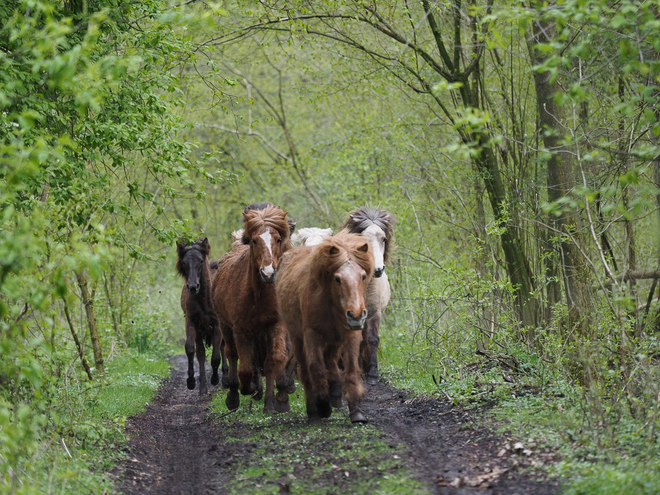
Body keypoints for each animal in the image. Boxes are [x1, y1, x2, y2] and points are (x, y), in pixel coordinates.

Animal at [175, 238, 224, 398]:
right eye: (184, 262)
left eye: (201, 261)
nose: (192, 286)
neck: (204, 299)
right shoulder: (192, 322)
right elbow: (193, 350)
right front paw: (192, 382)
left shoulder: (217, 325)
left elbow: (215, 357)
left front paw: (215, 379)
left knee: (223, 348)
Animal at [213, 203, 292, 412]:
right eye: (255, 241)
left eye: (278, 239)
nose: (268, 273)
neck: (258, 296)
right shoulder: (241, 330)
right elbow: (245, 368)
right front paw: (248, 389)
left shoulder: (276, 325)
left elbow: (274, 359)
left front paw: (275, 401)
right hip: (226, 326)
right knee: (232, 355)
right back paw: (235, 394)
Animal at [274, 232, 376, 422]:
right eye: (337, 279)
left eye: (363, 276)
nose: (356, 315)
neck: (331, 303)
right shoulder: (311, 335)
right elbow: (316, 368)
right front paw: (322, 405)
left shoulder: (350, 334)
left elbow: (351, 369)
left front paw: (356, 410)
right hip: (298, 338)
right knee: (306, 371)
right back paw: (313, 409)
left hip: (334, 339)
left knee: (331, 362)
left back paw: (335, 393)